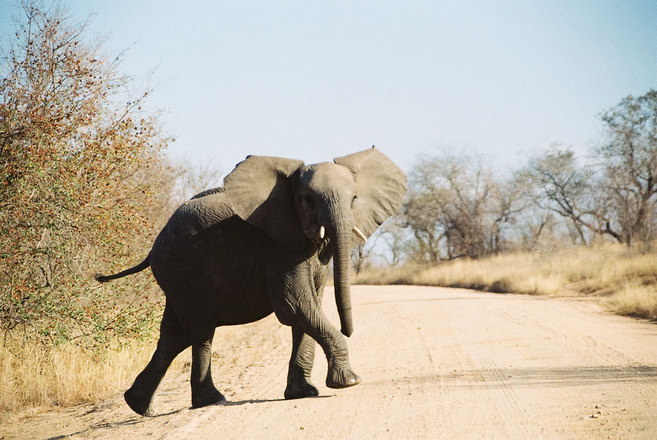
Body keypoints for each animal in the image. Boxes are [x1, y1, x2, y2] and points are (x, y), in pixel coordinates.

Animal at [95, 146, 407, 416]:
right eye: (307, 200)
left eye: (354, 200)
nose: (348, 328)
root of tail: (153, 246)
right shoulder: (279, 247)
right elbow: (294, 306)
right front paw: (348, 382)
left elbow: (310, 308)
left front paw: (303, 393)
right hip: (179, 269)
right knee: (200, 331)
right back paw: (212, 401)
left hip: (177, 275)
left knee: (174, 335)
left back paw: (139, 406)